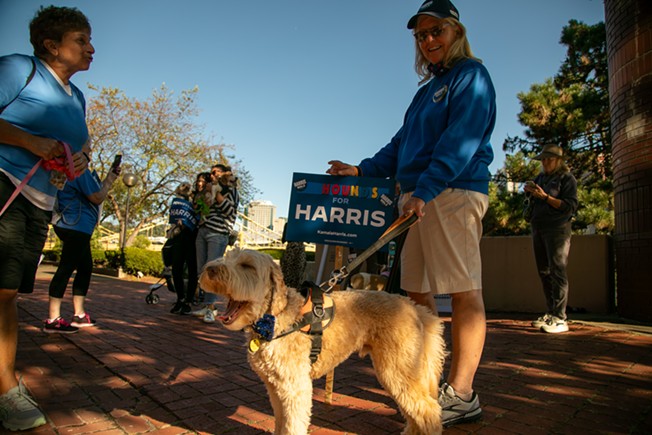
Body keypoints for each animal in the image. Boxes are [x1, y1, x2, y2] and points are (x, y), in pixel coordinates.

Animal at [199, 249, 444, 435]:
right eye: (227, 256)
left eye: (246, 266)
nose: (210, 270)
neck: (277, 318)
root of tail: (414, 307)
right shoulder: (275, 387)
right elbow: (280, 422)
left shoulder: (295, 388)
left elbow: (292, 427)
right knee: (417, 414)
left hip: (397, 370)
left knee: (430, 411)